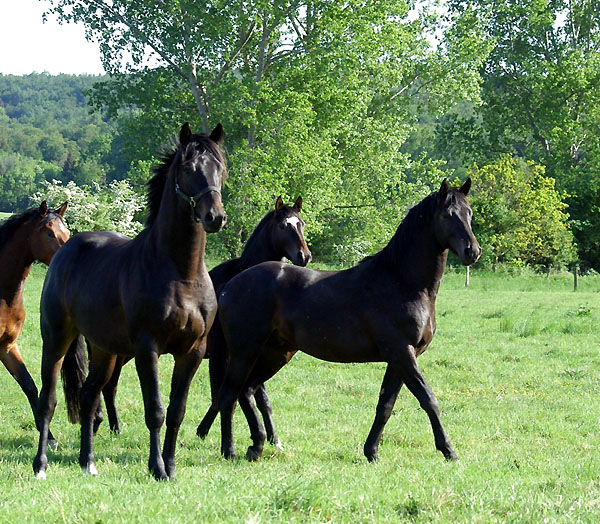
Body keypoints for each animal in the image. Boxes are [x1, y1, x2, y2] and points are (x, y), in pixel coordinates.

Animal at [34, 124, 229, 478]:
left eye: (220, 169)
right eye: (188, 169)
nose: (214, 217)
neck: (181, 274)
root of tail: (66, 249)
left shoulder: (193, 352)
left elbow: (177, 411)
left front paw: (171, 467)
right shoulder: (146, 348)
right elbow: (155, 410)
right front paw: (157, 469)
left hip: (105, 350)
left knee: (88, 395)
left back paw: (88, 462)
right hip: (57, 339)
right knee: (48, 400)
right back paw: (40, 465)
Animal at [213, 180, 480, 462]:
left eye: (469, 213)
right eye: (447, 215)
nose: (472, 251)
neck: (402, 282)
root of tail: (231, 285)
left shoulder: (401, 358)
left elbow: (385, 405)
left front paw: (371, 452)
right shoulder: (402, 353)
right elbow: (428, 399)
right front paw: (448, 450)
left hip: (275, 353)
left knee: (247, 391)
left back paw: (257, 445)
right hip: (245, 351)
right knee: (229, 394)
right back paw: (230, 450)